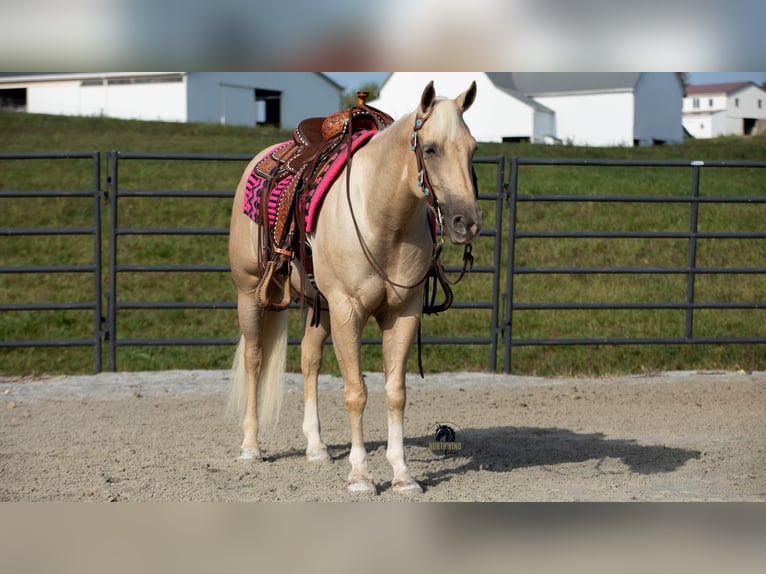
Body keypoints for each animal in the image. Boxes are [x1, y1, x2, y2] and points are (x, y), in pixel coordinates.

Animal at [228, 81, 481, 493]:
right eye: (430, 149)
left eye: (473, 148)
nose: (467, 222)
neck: (382, 216)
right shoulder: (349, 311)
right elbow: (355, 393)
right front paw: (361, 475)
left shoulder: (402, 313)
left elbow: (395, 393)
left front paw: (402, 474)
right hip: (250, 292)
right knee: (255, 359)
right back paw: (250, 446)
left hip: (319, 305)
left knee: (309, 360)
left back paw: (316, 448)